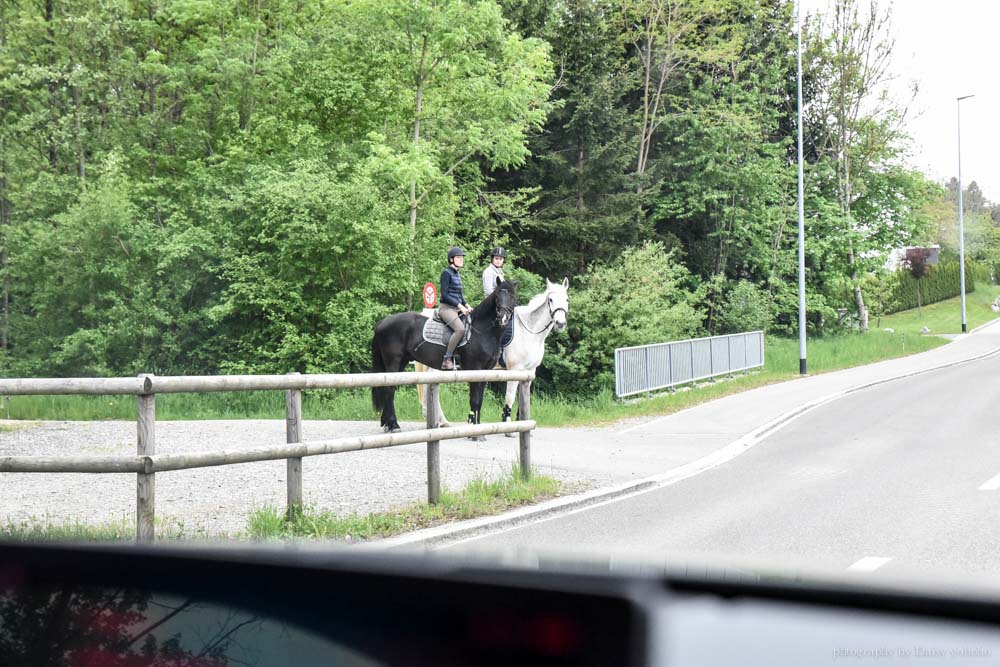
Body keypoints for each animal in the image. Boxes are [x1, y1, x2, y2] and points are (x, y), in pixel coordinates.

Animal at [374, 280, 520, 436]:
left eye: (512, 296)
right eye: (498, 296)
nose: (503, 317)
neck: (482, 331)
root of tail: (383, 321)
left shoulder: (485, 372)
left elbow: (479, 400)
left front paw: (478, 427)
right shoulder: (475, 368)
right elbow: (475, 400)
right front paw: (473, 430)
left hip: (401, 362)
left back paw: (387, 423)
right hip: (394, 362)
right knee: (389, 389)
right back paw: (394, 424)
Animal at [416, 278, 572, 434]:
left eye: (566, 299)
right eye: (551, 300)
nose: (560, 323)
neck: (529, 331)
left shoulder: (529, 371)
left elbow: (523, 398)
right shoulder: (514, 369)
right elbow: (510, 397)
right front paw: (508, 428)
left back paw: (441, 422)